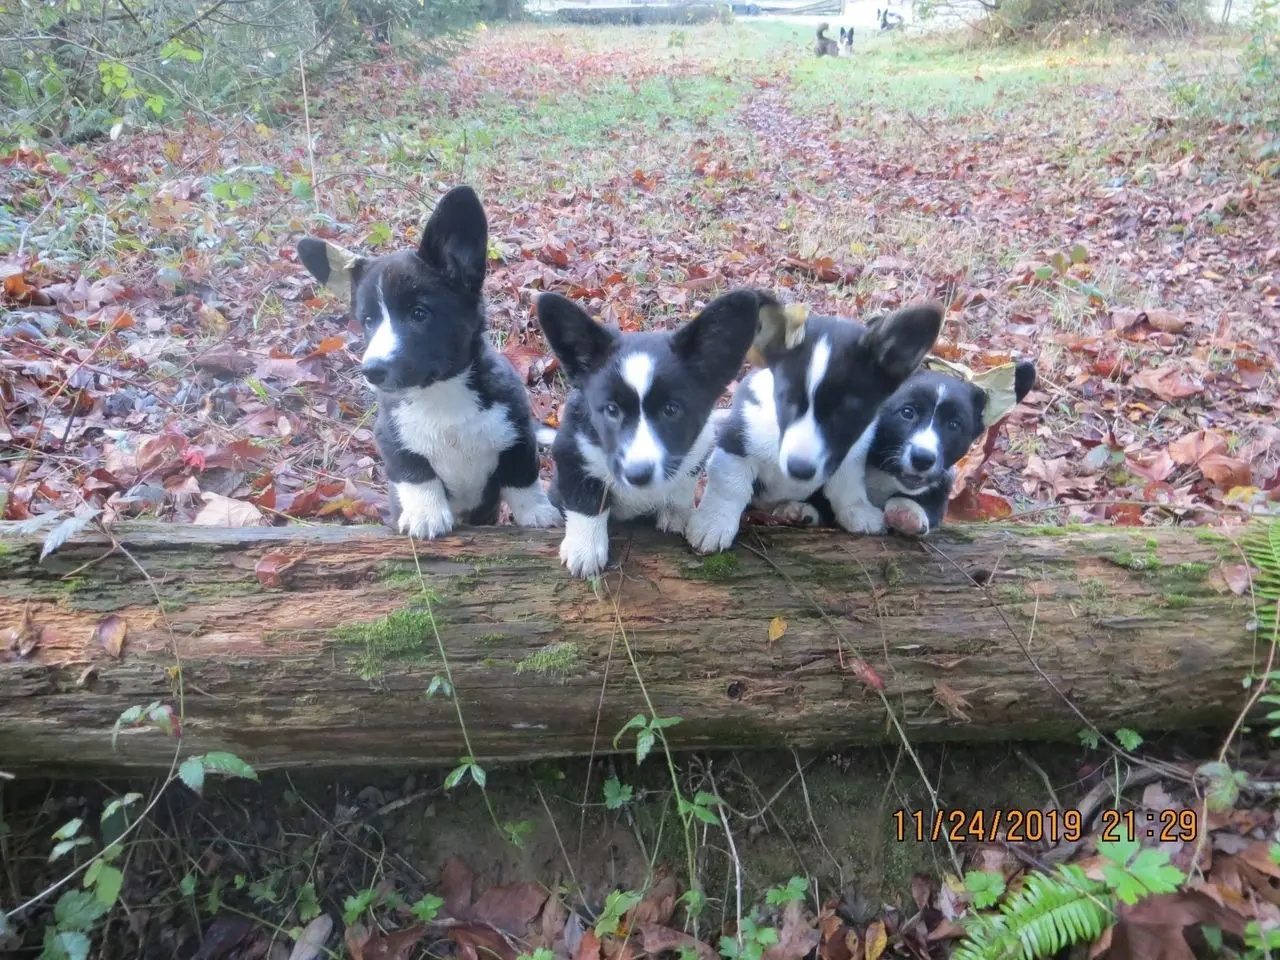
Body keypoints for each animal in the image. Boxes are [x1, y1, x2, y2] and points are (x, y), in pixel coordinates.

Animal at [299, 185, 565, 542]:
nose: (372, 371)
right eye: (368, 321)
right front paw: (425, 515)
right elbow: (417, 475)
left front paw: (537, 512)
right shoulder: (393, 441)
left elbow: (522, 478)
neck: (442, 393)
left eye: (419, 314)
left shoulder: (518, 433)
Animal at [535, 289, 762, 583]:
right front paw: (584, 550)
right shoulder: (571, 451)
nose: (637, 475)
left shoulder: (696, 450)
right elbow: (586, 499)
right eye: (611, 410)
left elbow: (682, 483)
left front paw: (677, 512)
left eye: (671, 410)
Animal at [686, 300, 947, 555]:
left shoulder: (849, 453)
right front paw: (713, 523)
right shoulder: (737, 442)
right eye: (786, 400)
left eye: (847, 412)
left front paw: (858, 512)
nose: (799, 469)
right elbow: (730, 486)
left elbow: (847, 486)